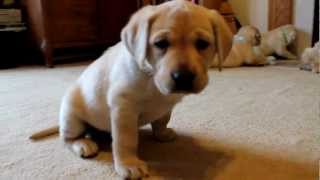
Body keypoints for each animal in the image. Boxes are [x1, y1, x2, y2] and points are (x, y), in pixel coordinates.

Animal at [29, 0, 232, 179]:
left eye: (202, 44)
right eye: (161, 43)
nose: (183, 77)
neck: (151, 77)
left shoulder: (166, 105)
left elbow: (162, 120)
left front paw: (162, 133)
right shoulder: (123, 107)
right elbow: (125, 140)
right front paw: (129, 164)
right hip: (72, 117)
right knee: (66, 139)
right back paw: (83, 144)